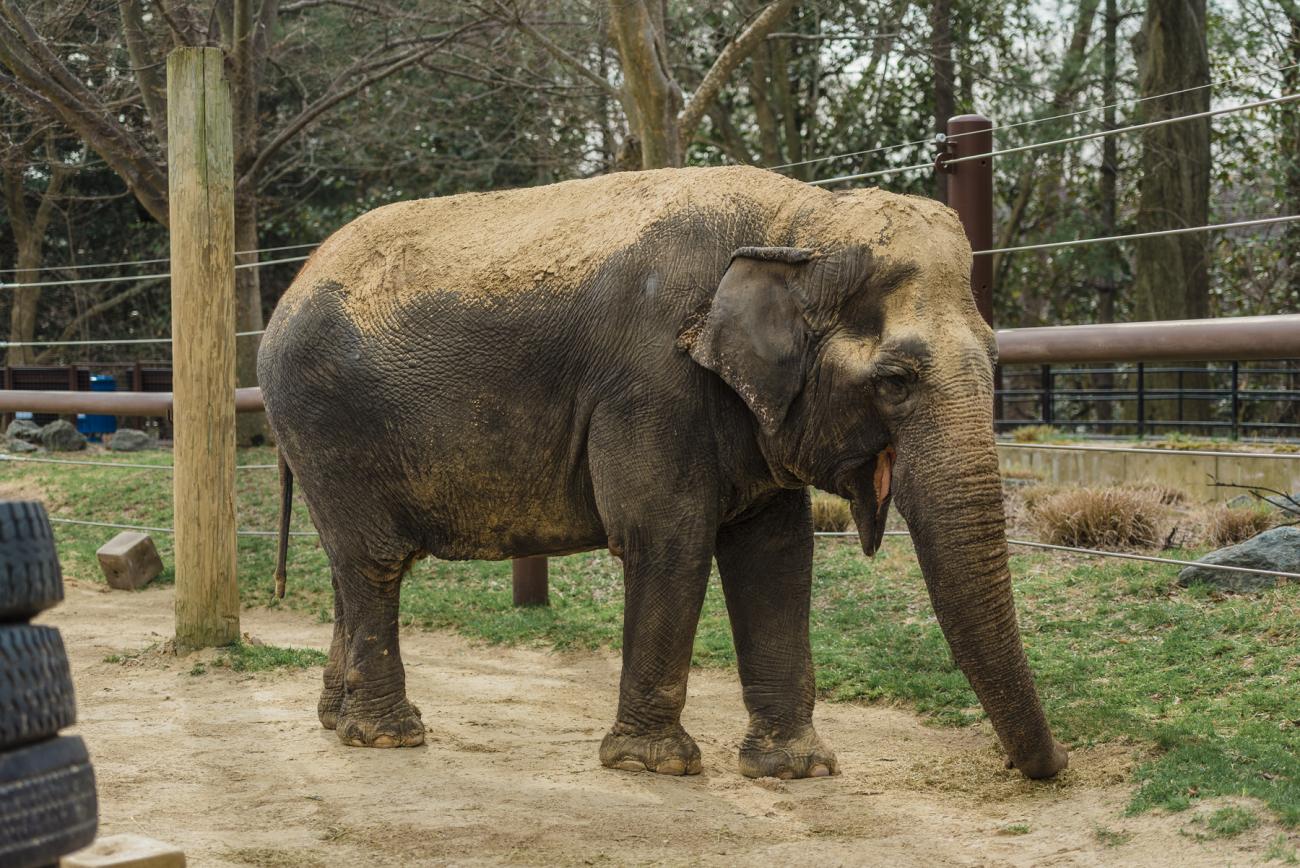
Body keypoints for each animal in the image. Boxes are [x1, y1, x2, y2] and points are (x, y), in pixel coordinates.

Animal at [261, 162, 1066, 779]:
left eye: (997, 360)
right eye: (896, 380)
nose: (1050, 769)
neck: (797, 221)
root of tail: (289, 290)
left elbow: (776, 551)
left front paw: (798, 770)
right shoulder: (651, 384)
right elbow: (668, 537)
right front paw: (656, 766)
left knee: (349, 567)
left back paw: (336, 721)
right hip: (327, 424)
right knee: (375, 563)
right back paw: (389, 737)